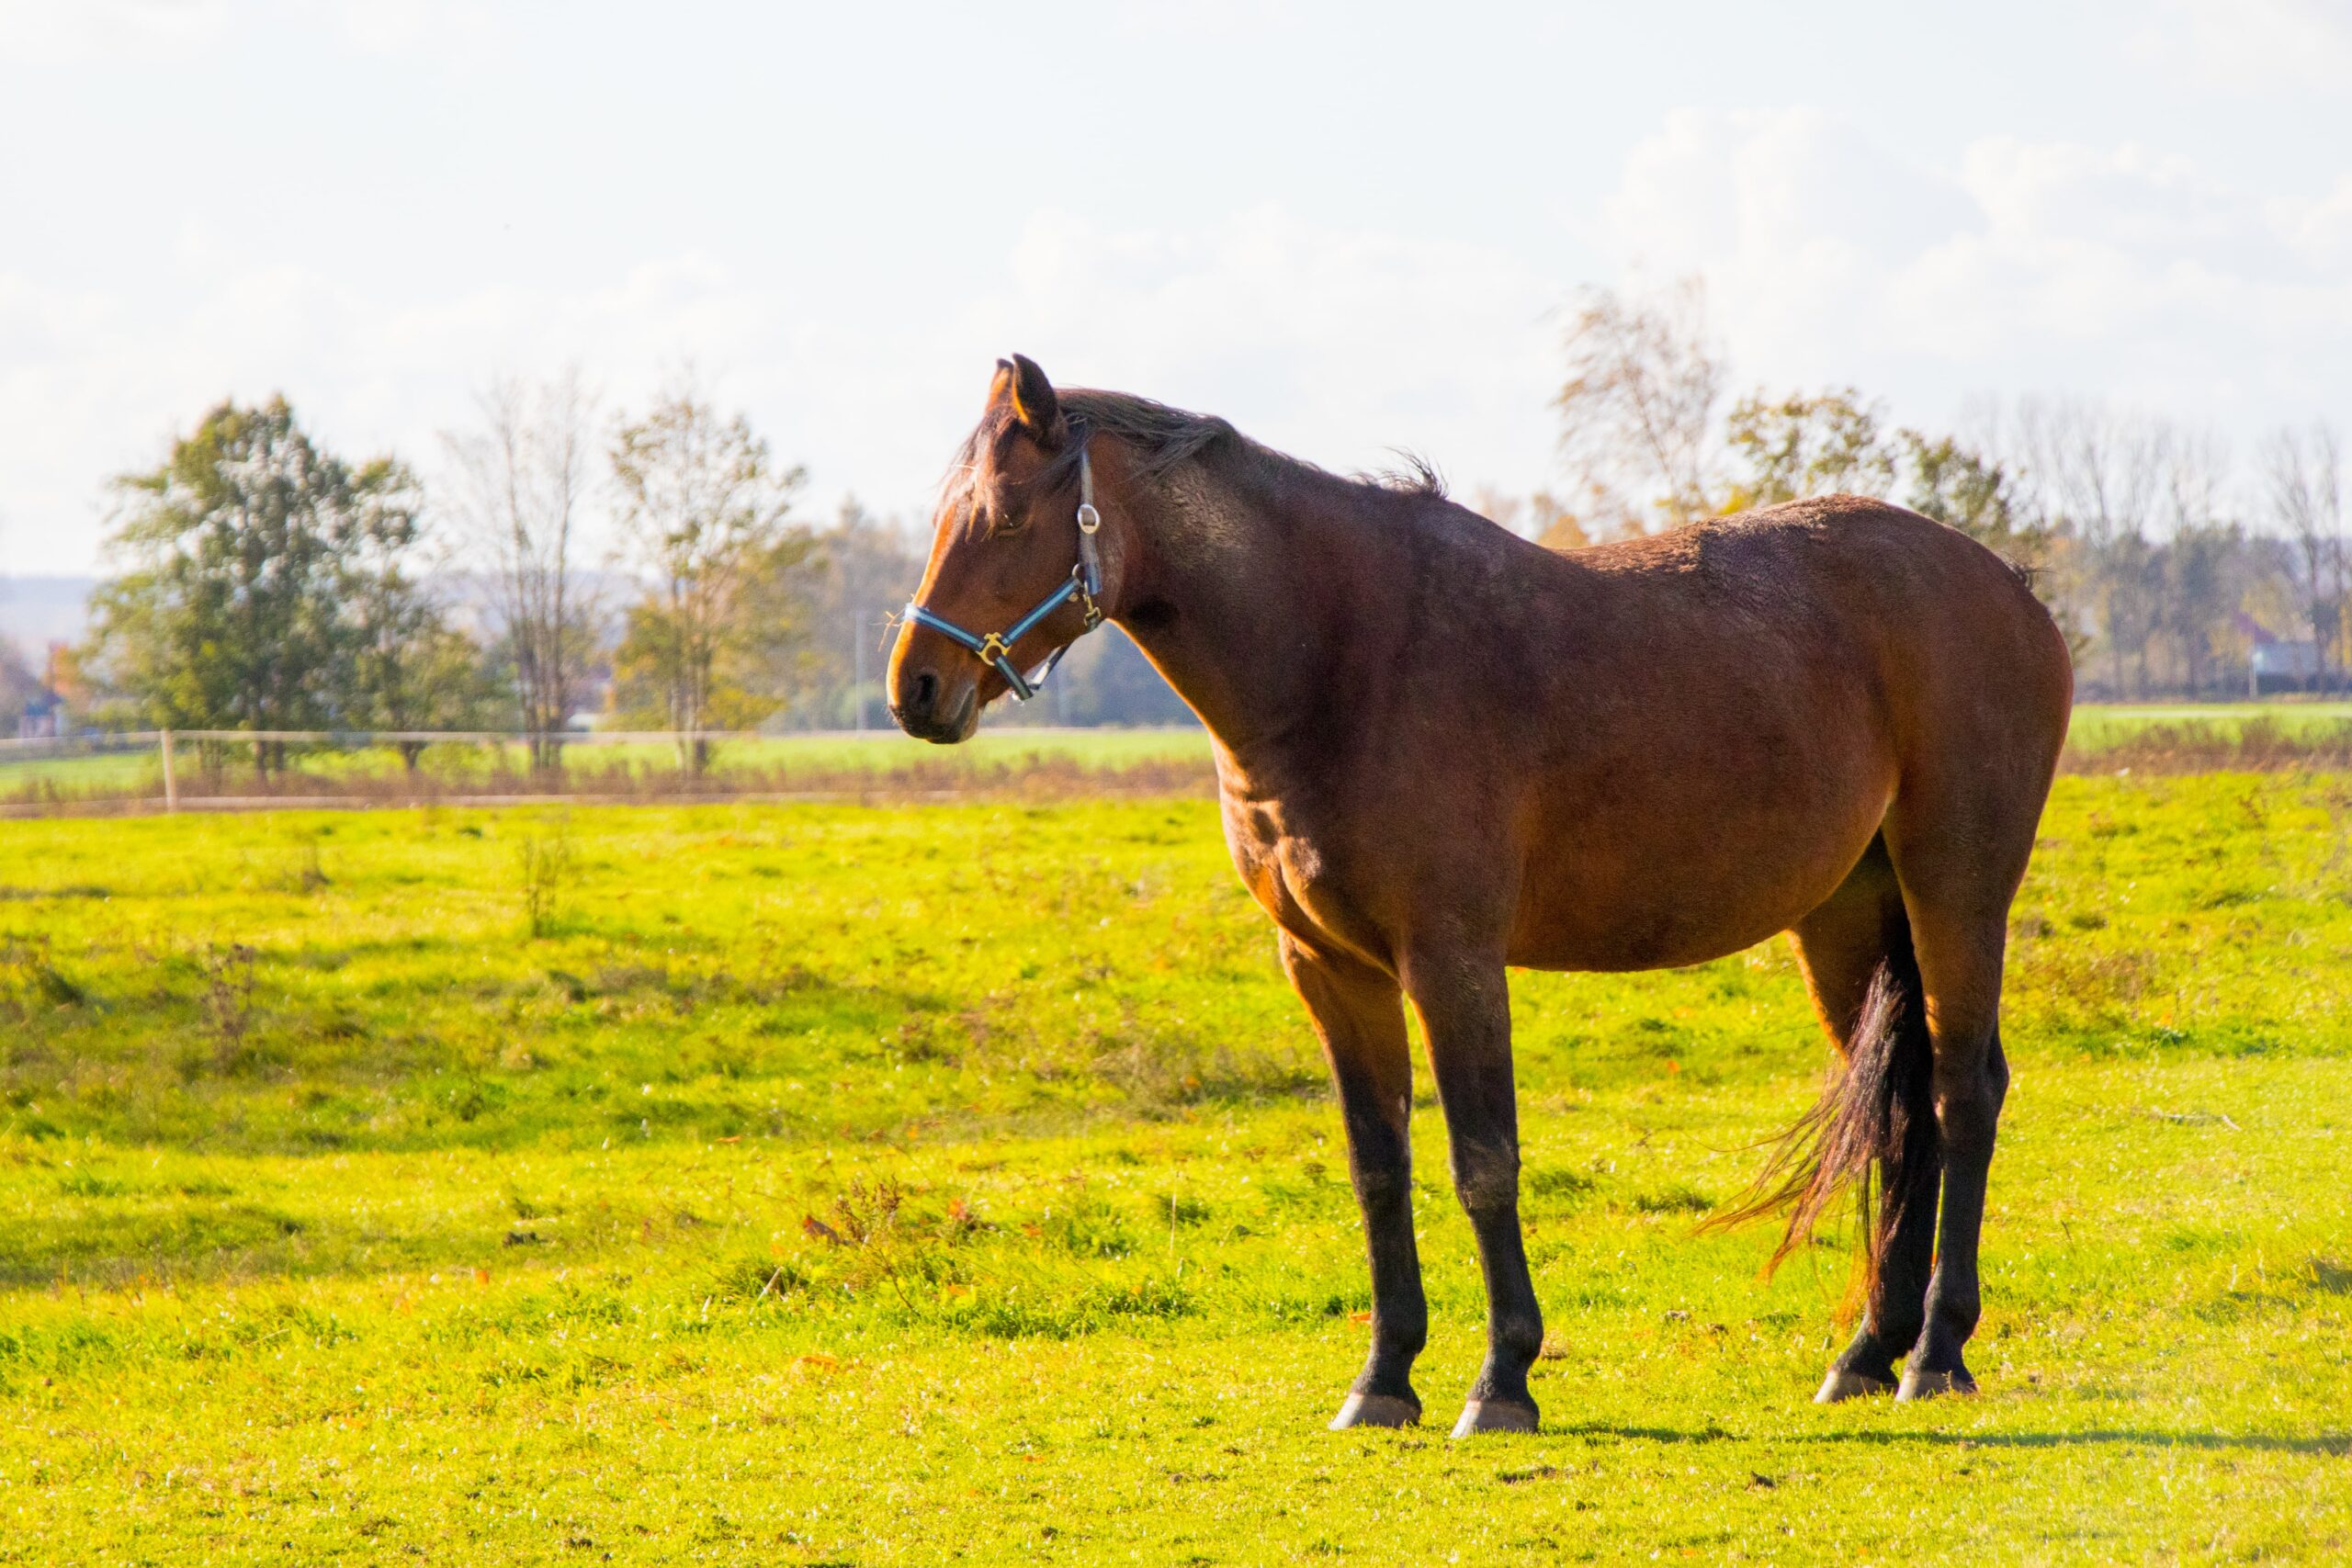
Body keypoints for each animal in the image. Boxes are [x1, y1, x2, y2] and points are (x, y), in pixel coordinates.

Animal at [888, 355, 2069, 1438]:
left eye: (1002, 516)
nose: (916, 689)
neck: (1344, 658)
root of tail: (2010, 587)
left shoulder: (1451, 960)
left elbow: (1483, 1162)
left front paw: (1500, 1381)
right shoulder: (1330, 969)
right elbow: (1378, 1170)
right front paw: (1382, 1380)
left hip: (1956, 892)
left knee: (1963, 1092)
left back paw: (1937, 1354)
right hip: (1845, 920)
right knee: (1902, 1107)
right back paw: (1868, 1351)